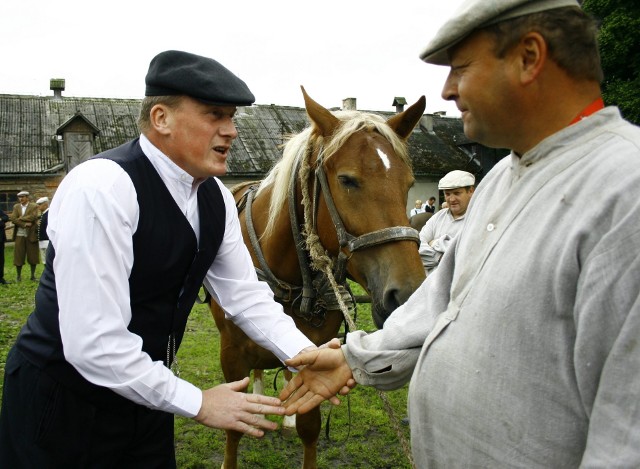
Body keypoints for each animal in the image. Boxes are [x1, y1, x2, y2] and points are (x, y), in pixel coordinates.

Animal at [210, 88, 428, 468]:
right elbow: (232, 429)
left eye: (408, 184)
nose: (409, 295)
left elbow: (310, 426)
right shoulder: (231, 356)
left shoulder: (313, 351)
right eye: (347, 180)